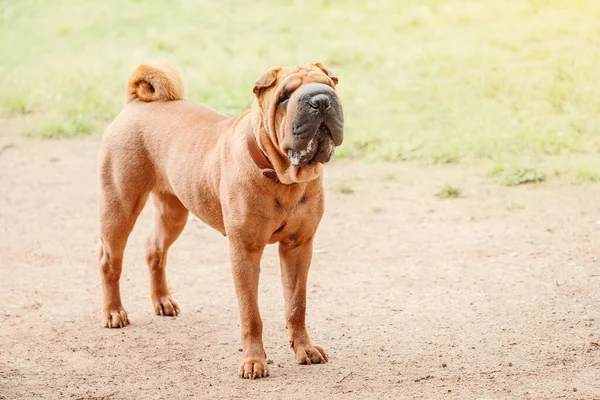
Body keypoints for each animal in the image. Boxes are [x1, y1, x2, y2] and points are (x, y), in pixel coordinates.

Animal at [97, 60, 342, 378]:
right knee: (109, 261)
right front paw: (254, 361)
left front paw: (305, 349)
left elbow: (296, 305)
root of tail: (136, 103)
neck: (282, 177)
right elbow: (251, 314)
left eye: (329, 85)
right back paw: (114, 312)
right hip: (120, 206)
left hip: (174, 211)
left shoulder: (298, 246)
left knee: (154, 249)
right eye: (284, 97)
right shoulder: (245, 251)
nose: (321, 100)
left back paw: (162, 301)